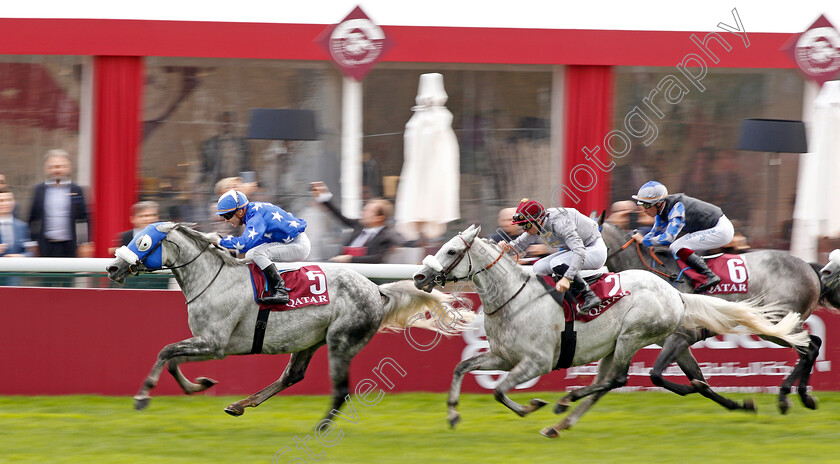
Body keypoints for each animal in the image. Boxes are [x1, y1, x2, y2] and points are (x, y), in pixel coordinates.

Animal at [104, 223, 470, 422]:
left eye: (143, 242)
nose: (112, 268)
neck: (213, 278)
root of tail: (376, 289)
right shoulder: (207, 342)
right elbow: (172, 358)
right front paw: (199, 385)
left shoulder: (215, 343)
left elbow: (166, 352)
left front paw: (143, 396)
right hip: (309, 341)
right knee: (292, 376)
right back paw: (240, 404)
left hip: (340, 342)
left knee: (336, 388)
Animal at [414, 225, 808, 438]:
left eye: (451, 249)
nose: (419, 276)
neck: (515, 297)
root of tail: (676, 293)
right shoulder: (502, 356)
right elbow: (461, 368)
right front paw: (453, 413)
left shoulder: (536, 362)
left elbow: (498, 391)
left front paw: (532, 405)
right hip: (614, 346)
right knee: (615, 383)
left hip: (632, 337)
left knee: (617, 379)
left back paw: (563, 404)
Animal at [600, 223, 836, 416]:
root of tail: (809, 267)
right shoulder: (677, 343)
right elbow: (695, 379)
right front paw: (740, 405)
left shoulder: (682, 336)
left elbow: (657, 375)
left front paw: (695, 387)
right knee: (812, 346)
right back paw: (803, 396)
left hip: (775, 322)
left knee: (809, 348)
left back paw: (785, 397)